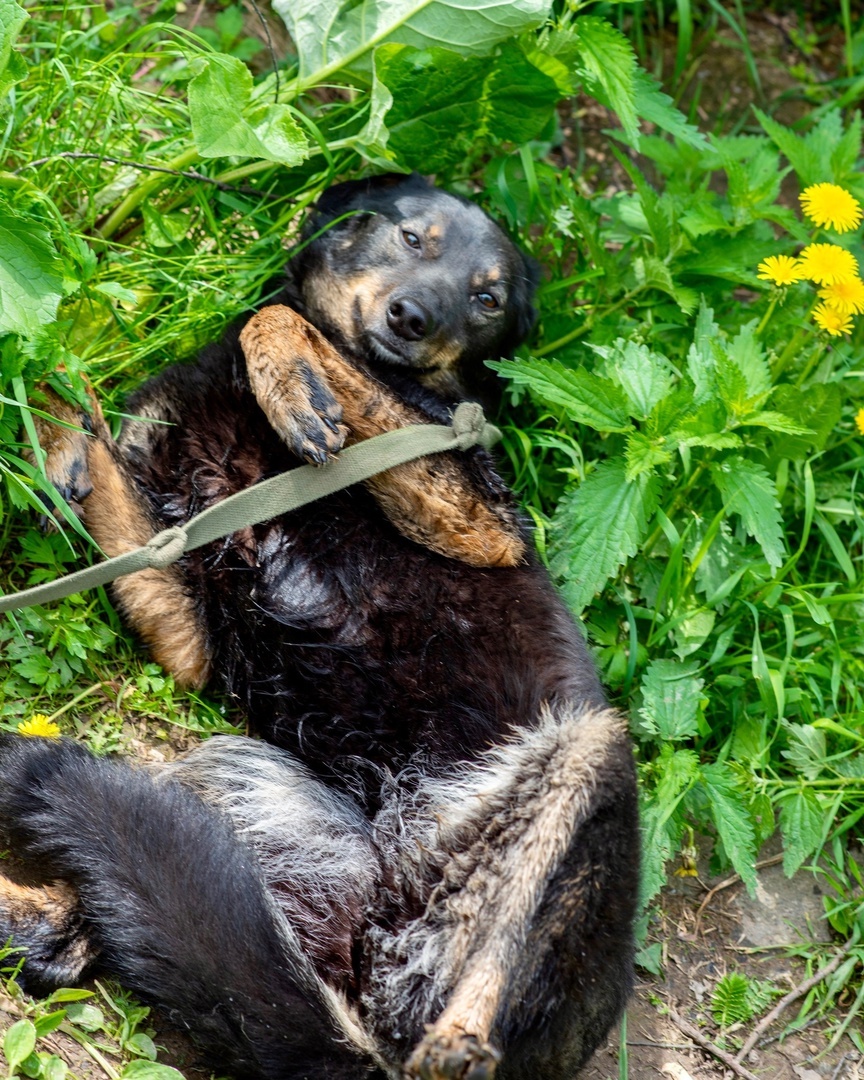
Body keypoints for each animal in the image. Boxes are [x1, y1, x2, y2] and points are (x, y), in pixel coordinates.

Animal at [0, 172, 639, 1080]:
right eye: (412, 239)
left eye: (485, 299)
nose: (415, 317)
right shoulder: (181, 613)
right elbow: (84, 413)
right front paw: (48, 426)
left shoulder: (479, 520)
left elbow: (281, 322)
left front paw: (295, 384)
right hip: (234, 793)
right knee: (86, 929)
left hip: (585, 758)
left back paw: (457, 1045)